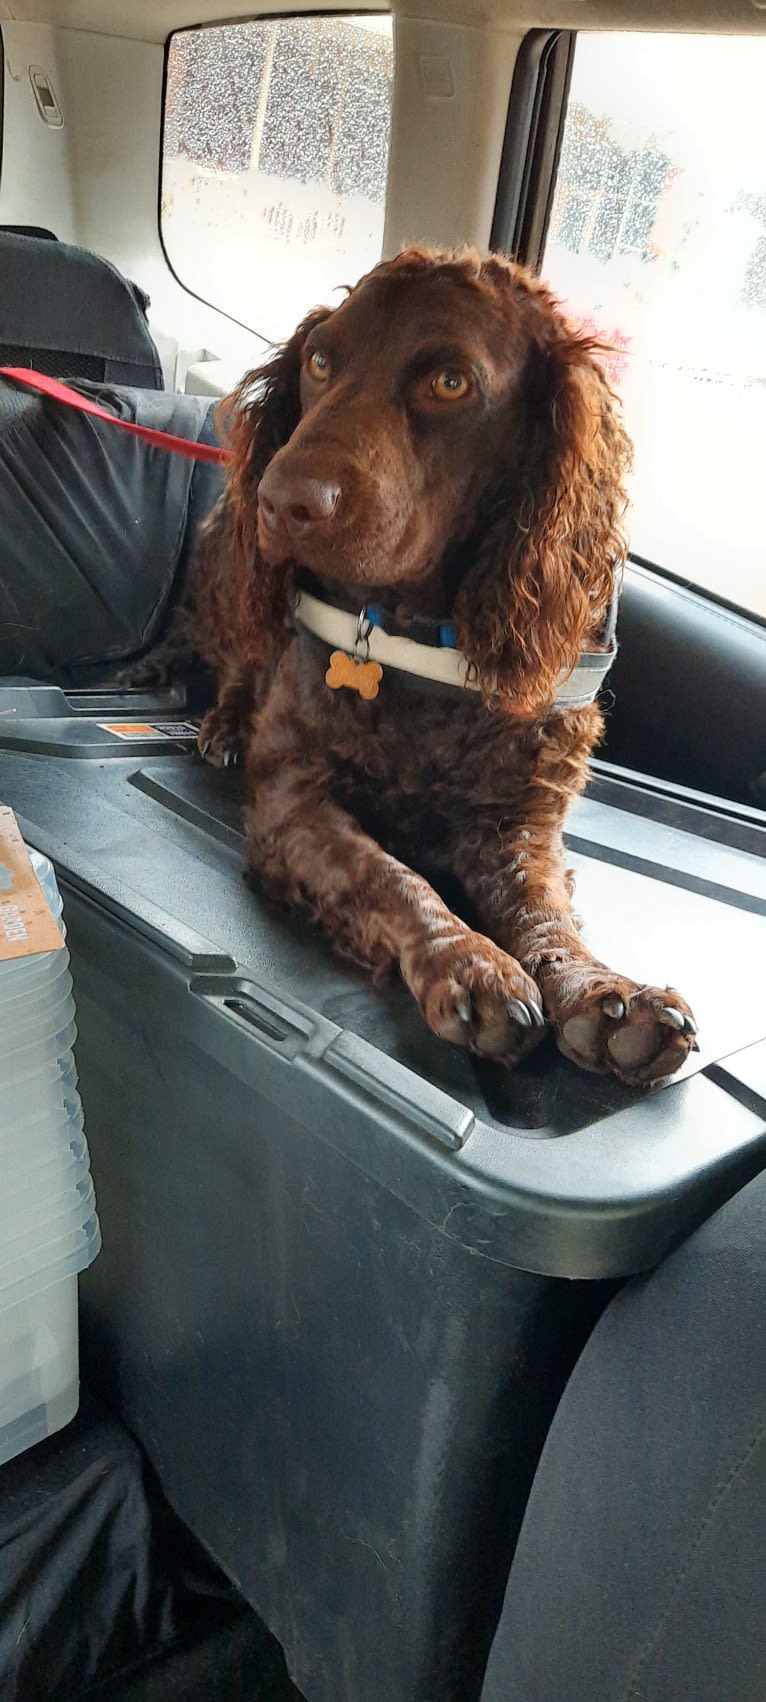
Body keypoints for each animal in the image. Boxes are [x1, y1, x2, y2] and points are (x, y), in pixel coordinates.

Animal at [193, 246, 701, 1082]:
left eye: (451, 383)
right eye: (321, 362)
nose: (282, 500)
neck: (419, 640)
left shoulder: (516, 821)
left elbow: (542, 911)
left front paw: (604, 991)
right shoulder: (295, 804)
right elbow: (390, 875)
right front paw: (471, 963)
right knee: (239, 663)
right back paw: (227, 726)